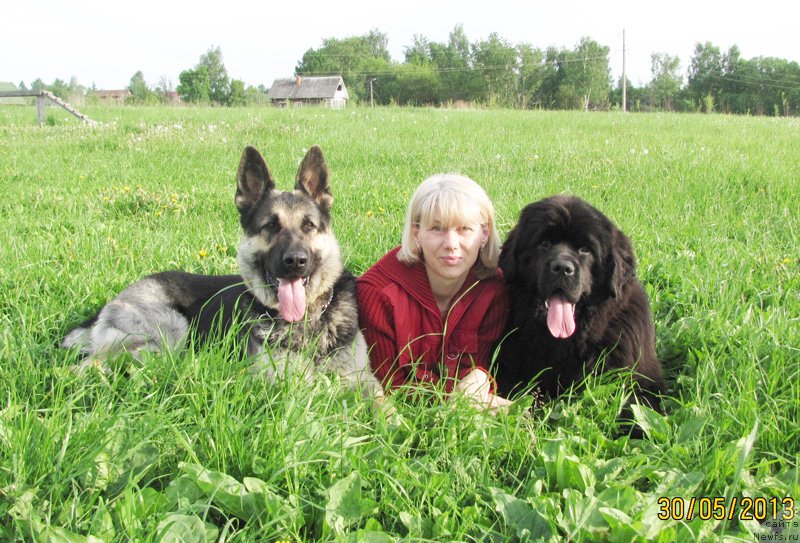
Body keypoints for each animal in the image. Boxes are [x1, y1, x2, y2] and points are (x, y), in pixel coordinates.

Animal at [61, 147, 380, 394]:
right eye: (271, 225)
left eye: (309, 225)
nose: (296, 261)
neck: (307, 319)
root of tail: (113, 302)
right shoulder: (288, 383)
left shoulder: (363, 379)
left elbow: (382, 406)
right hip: (169, 331)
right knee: (89, 363)